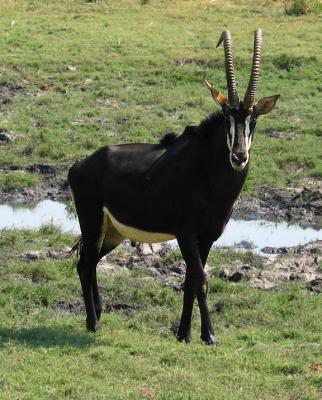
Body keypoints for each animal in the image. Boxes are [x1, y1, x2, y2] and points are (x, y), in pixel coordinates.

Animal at [68, 30, 280, 344]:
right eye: (227, 116)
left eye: (253, 118)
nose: (239, 156)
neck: (208, 174)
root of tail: (80, 165)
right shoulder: (186, 234)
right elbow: (200, 280)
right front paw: (209, 335)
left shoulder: (208, 238)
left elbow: (191, 281)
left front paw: (184, 334)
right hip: (92, 222)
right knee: (84, 265)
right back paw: (94, 323)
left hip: (112, 232)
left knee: (92, 263)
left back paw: (97, 314)